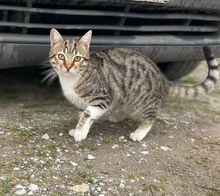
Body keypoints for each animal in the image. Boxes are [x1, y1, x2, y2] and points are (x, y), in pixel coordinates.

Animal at [49, 28, 219, 142]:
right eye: (61, 56)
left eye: (77, 58)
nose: (68, 66)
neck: (71, 79)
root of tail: (163, 78)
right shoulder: (82, 102)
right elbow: (82, 114)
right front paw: (80, 129)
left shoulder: (102, 98)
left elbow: (87, 114)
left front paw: (79, 132)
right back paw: (117, 116)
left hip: (142, 103)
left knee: (151, 116)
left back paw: (140, 132)